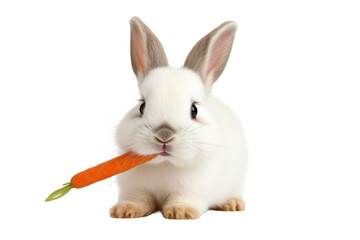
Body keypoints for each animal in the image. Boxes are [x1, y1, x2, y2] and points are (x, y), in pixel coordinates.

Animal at [110, 16, 248, 219]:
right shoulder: (136, 188)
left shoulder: (191, 191)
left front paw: (179, 212)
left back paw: (233, 204)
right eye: (142, 106)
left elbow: (183, 199)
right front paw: (125, 210)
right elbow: (139, 199)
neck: (166, 164)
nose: (164, 135)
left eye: (194, 110)